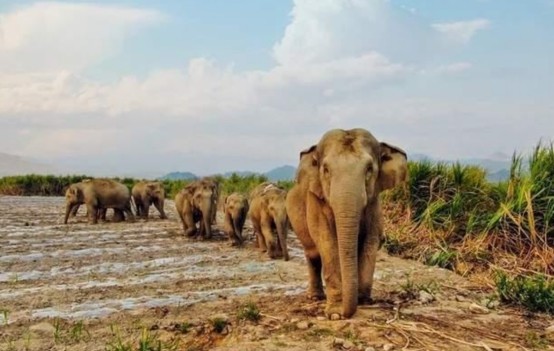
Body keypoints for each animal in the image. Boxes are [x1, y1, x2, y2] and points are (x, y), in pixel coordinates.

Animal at [284, 128, 406, 320]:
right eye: (326, 169)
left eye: (369, 169)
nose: (345, 312)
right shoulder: (316, 200)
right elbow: (327, 242)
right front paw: (335, 313)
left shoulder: (374, 204)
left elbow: (371, 241)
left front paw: (363, 301)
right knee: (313, 254)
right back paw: (315, 297)